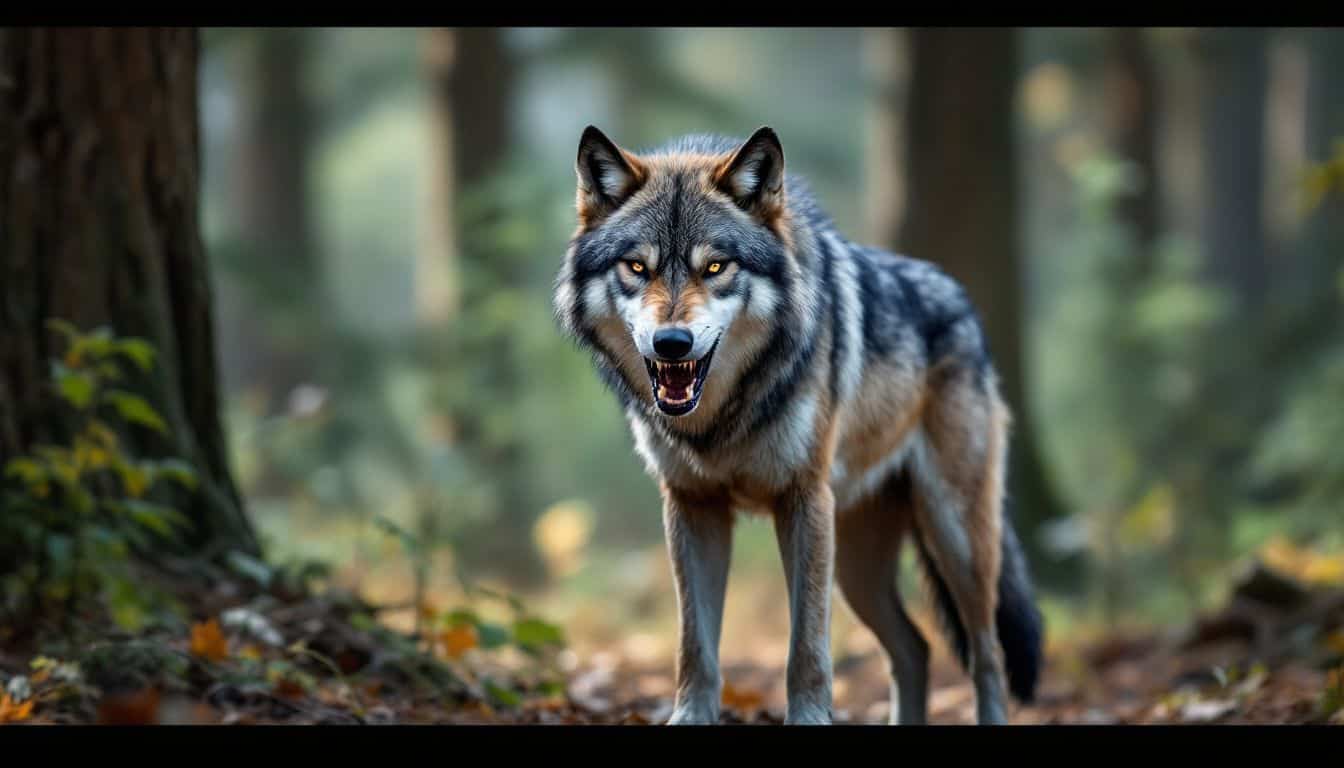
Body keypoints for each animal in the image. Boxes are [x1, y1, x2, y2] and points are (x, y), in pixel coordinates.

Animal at [552, 125, 1044, 725]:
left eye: (715, 267)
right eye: (637, 267)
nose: (672, 343)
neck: (722, 419)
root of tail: (966, 306)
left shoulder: (803, 501)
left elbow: (806, 647)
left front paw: (809, 717)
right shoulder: (693, 506)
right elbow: (695, 645)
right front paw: (689, 716)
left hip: (954, 535)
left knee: (985, 652)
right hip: (859, 568)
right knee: (915, 648)